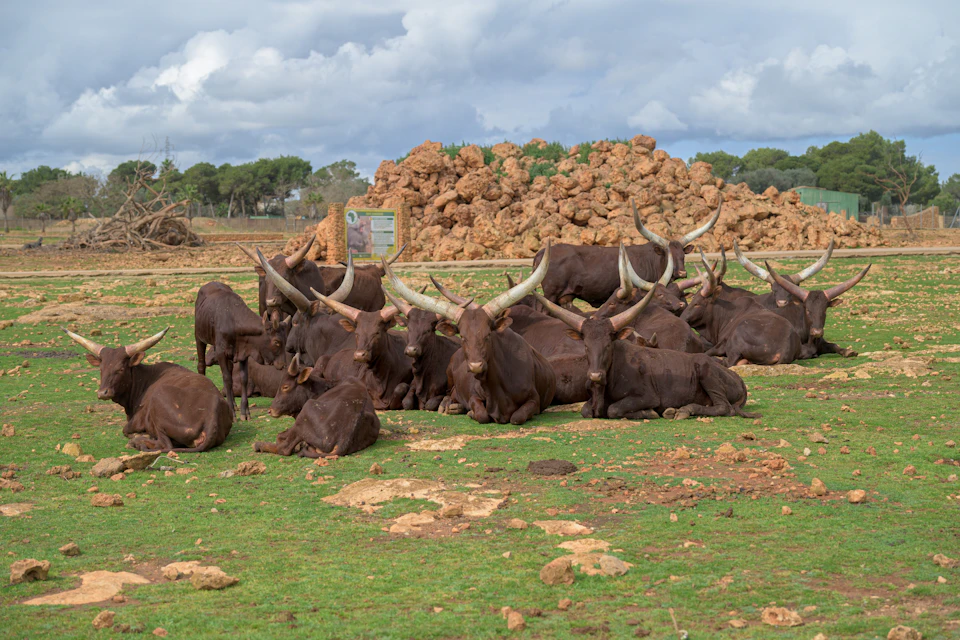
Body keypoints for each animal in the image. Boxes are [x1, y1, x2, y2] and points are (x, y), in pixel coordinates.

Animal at [63, 327, 232, 452]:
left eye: (120, 369)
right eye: (101, 369)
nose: (103, 393)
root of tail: (212, 413)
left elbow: (126, 430)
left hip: (159, 399)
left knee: (165, 444)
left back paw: (139, 441)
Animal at [195, 282, 287, 421]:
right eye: (276, 341)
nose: (283, 364)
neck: (233, 321)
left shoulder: (243, 353)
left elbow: (244, 379)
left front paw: (245, 411)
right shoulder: (221, 353)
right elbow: (227, 378)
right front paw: (232, 413)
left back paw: (233, 403)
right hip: (199, 337)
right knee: (201, 366)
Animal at [383, 245, 556, 425]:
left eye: (488, 335)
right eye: (463, 337)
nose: (475, 366)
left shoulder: (534, 401)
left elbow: (517, 417)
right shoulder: (473, 395)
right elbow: (482, 414)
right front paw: (470, 412)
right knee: (451, 393)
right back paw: (450, 405)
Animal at [532, 196, 722, 306]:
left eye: (683, 255)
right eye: (668, 255)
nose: (683, 273)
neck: (653, 261)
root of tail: (542, 252)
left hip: (563, 297)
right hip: (550, 295)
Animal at [533, 287, 758, 421]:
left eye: (608, 344)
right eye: (586, 345)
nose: (595, 375)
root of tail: (738, 379)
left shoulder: (648, 396)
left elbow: (614, 409)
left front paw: (648, 413)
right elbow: (586, 410)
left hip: (706, 371)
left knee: (723, 407)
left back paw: (682, 410)